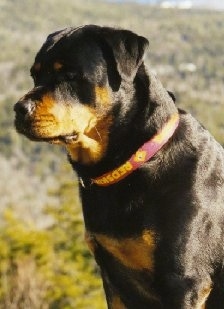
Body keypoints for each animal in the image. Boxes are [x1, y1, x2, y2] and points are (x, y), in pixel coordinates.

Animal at [13, 25, 224, 306]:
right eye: (34, 75)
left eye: (70, 75)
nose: (18, 108)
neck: (135, 160)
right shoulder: (113, 280)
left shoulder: (184, 282)